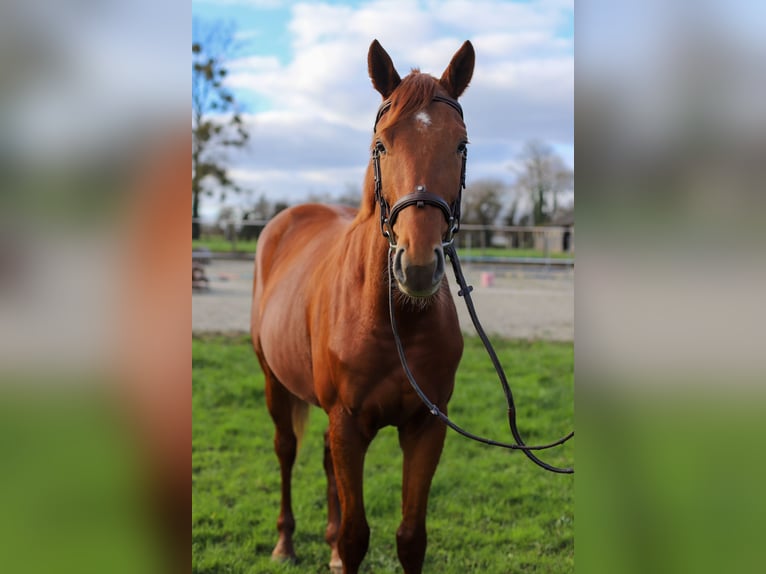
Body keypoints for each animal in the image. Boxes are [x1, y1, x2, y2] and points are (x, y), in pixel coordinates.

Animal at [252, 40, 474, 574]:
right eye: (381, 145)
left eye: (460, 146)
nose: (417, 265)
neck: (394, 325)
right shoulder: (348, 423)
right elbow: (356, 536)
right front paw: (337, 545)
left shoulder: (425, 426)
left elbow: (411, 537)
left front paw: (340, 547)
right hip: (274, 381)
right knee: (286, 450)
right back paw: (285, 542)